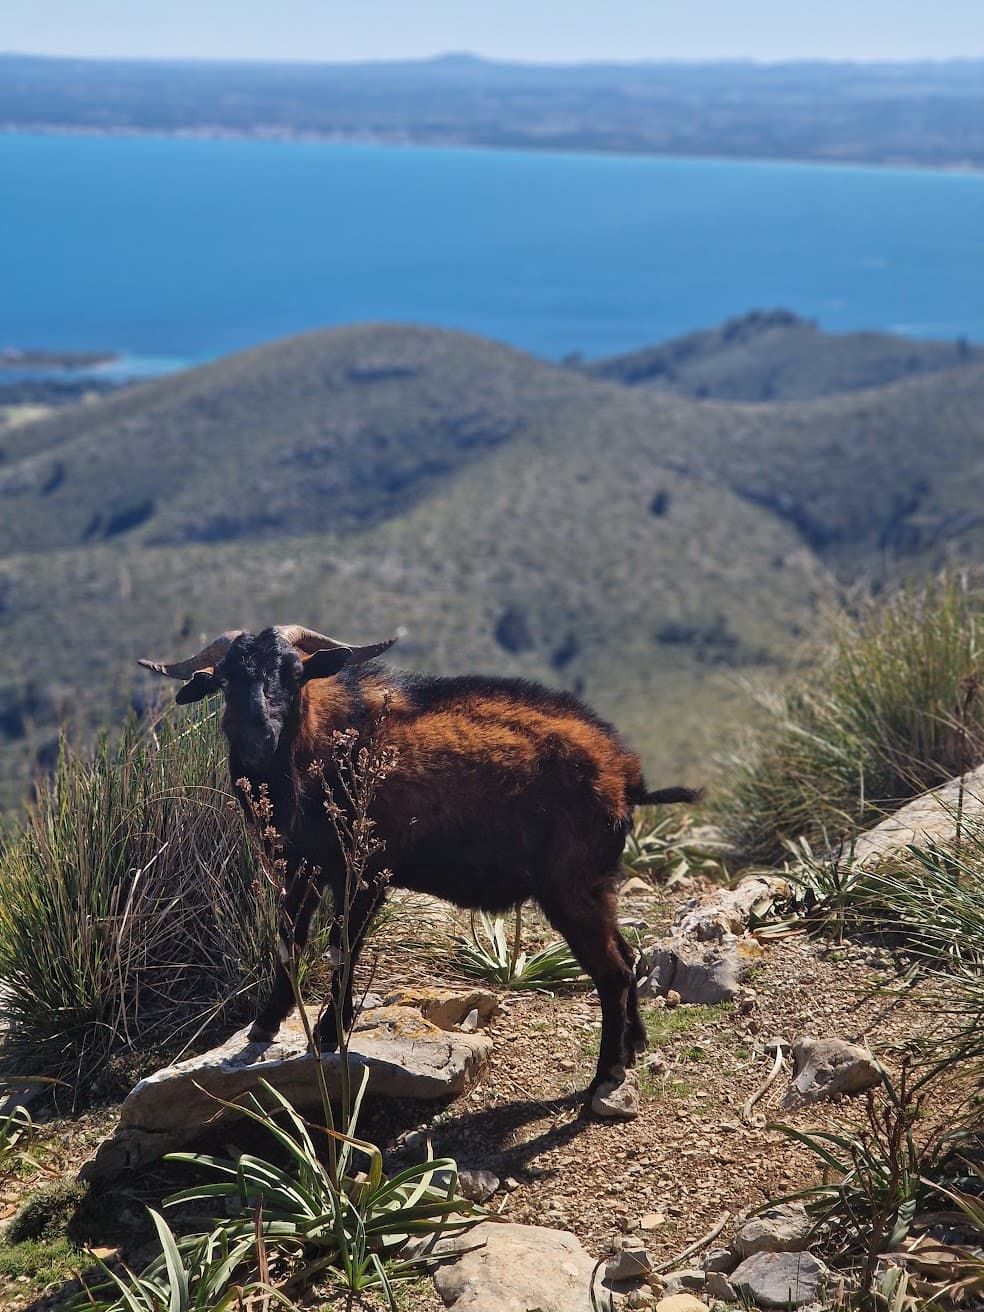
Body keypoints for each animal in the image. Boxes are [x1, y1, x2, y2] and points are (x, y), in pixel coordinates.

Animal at [140, 625, 700, 1105]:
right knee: (627, 957)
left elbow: (342, 947)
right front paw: (269, 1023)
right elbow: (289, 939)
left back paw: (605, 1075)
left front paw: (330, 1031)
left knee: (612, 971)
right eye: (227, 678)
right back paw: (634, 1047)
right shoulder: (302, 869)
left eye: (294, 672)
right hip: (596, 884)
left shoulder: (364, 873)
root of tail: (626, 776)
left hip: (572, 886)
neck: (320, 750)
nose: (257, 735)